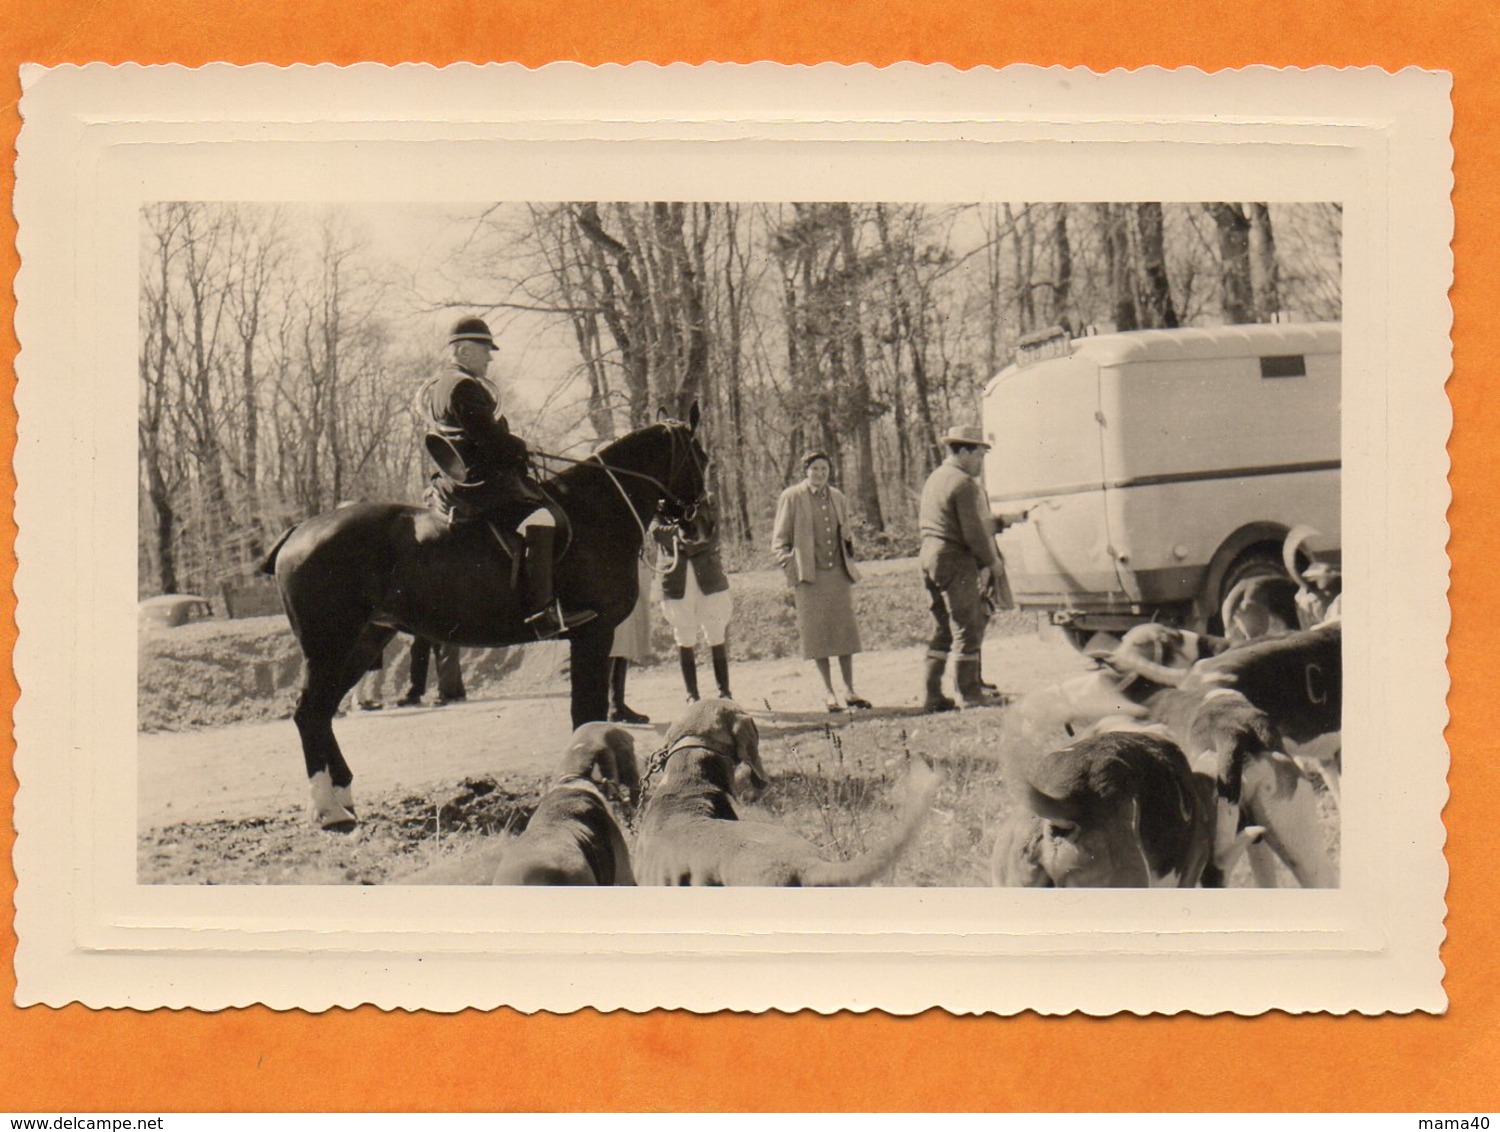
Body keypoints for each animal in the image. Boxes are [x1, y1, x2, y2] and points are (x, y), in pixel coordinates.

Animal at [261, 416, 705, 833]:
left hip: (363, 643)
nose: (696, 521)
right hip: (329, 648)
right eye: (699, 454)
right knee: (309, 714)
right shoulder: (593, 634)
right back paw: (328, 810)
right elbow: (587, 713)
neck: (595, 509)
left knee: (321, 714)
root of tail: (300, 530)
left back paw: (343, 797)